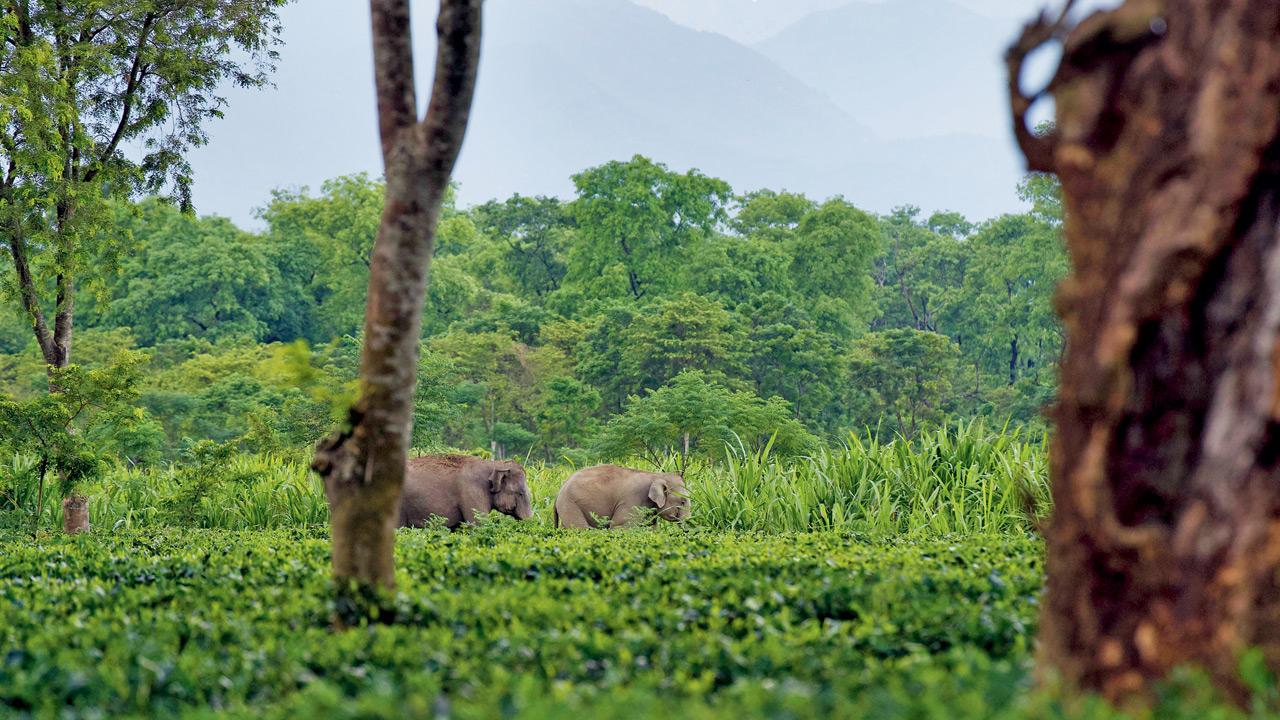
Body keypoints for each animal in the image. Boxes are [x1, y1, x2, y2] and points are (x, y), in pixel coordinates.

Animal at [552, 461, 691, 525]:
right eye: (683, 501)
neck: (656, 475)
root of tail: (559, 491)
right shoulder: (633, 500)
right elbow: (620, 525)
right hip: (570, 504)